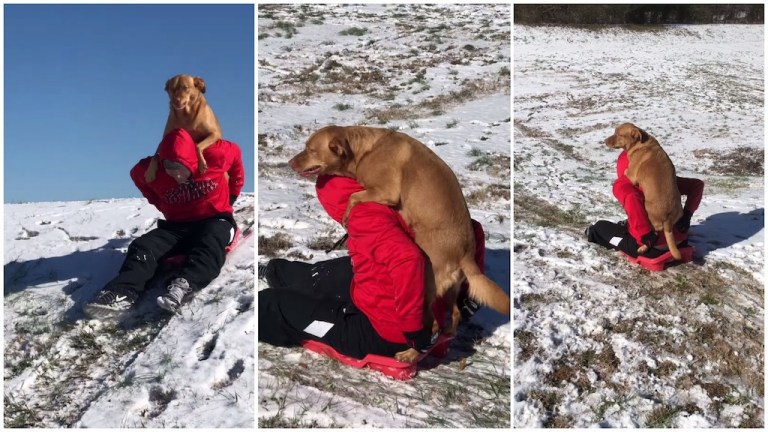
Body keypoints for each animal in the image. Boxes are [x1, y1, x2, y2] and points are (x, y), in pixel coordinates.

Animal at [288, 125, 510, 362]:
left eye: (311, 150)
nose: (290, 163)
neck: (363, 151)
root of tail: (466, 254)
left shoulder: (386, 191)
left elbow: (354, 197)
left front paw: (348, 215)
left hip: (426, 287)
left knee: (430, 328)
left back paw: (410, 354)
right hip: (451, 289)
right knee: (454, 317)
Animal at [608, 124, 684, 260]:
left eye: (620, 134)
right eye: (614, 131)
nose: (605, 141)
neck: (640, 144)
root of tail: (668, 220)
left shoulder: (631, 174)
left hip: (648, 215)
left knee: (652, 236)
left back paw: (642, 248)